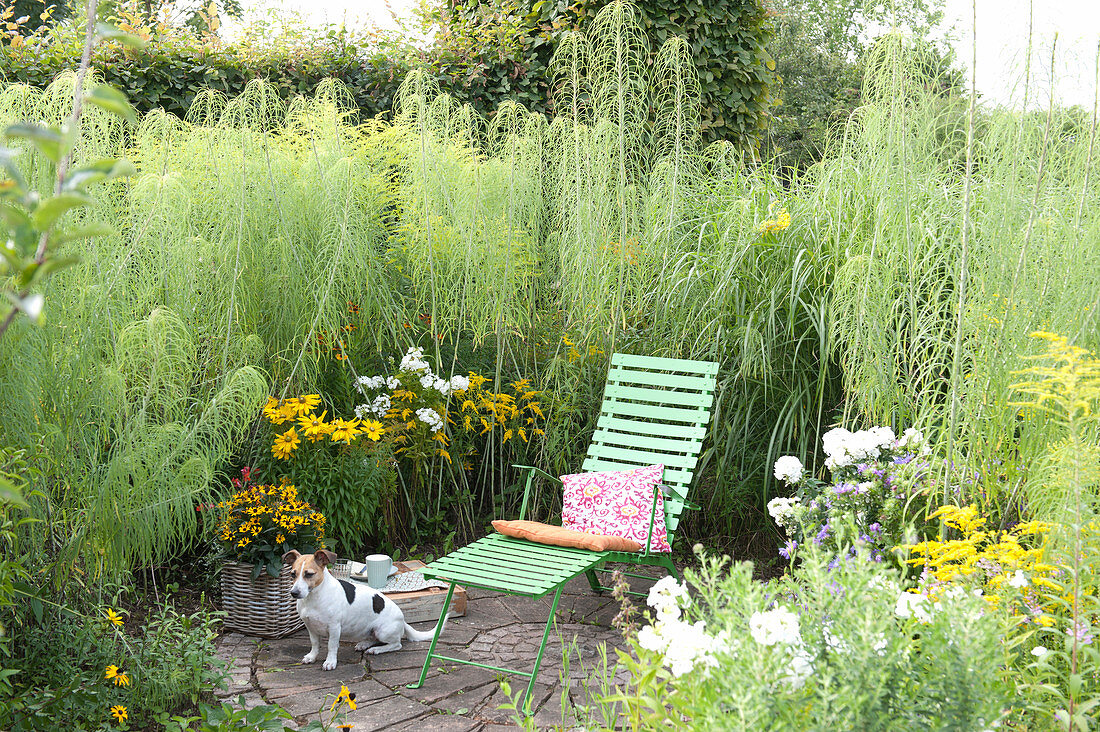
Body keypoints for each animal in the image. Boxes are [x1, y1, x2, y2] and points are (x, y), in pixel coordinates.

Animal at [281, 548, 440, 669]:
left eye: (309, 574)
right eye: (292, 574)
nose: (294, 593)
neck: (313, 598)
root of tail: (403, 620)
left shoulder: (334, 628)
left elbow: (332, 646)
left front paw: (330, 662)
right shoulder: (311, 627)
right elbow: (315, 644)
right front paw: (312, 657)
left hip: (383, 631)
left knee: (396, 644)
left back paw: (376, 650)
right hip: (373, 631)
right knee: (374, 638)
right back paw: (365, 644)